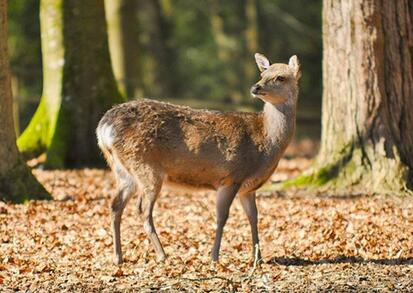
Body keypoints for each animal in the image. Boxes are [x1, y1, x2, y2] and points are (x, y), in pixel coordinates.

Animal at [98, 53, 300, 264]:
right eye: (262, 74)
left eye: (280, 77)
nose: (255, 87)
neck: (265, 144)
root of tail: (104, 128)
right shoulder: (231, 177)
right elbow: (222, 217)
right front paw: (214, 257)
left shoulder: (248, 187)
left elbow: (253, 217)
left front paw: (258, 258)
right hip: (145, 166)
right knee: (142, 209)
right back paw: (162, 255)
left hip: (122, 169)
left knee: (115, 205)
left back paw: (118, 257)